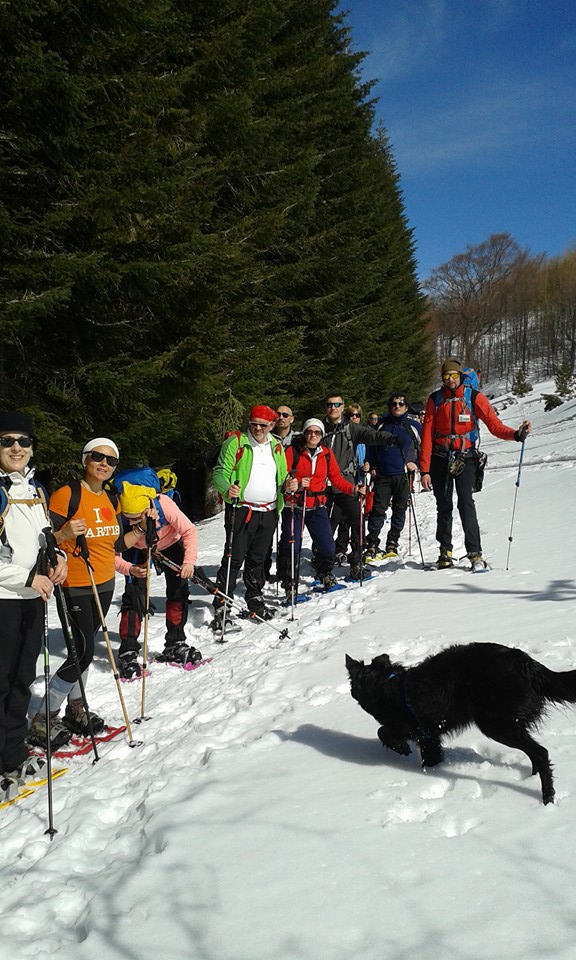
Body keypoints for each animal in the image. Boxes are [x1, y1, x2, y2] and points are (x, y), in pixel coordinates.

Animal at [346, 640, 576, 808]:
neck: (385, 684)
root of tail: (522, 661)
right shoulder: (430, 738)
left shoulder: (413, 729)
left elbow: (383, 731)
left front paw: (402, 748)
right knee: (534, 752)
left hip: (495, 724)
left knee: (541, 752)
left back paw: (547, 798)